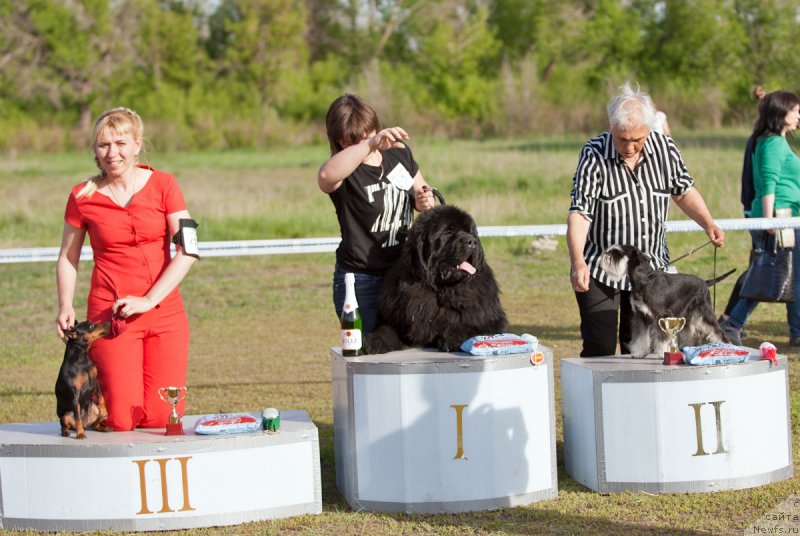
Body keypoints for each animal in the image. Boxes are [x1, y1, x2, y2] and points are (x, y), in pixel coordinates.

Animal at [362, 203, 506, 354]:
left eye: (470, 232)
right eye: (448, 232)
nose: (472, 241)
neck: (441, 289)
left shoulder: (492, 319)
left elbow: (476, 326)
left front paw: (453, 337)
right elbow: (386, 329)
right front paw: (374, 340)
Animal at [600, 245, 736, 358]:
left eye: (617, 253)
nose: (605, 254)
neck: (643, 279)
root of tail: (705, 282)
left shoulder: (661, 316)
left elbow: (661, 338)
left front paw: (662, 353)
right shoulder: (641, 316)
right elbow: (640, 337)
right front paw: (638, 353)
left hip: (705, 313)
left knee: (717, 331)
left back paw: (728, 348)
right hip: (687, 317)